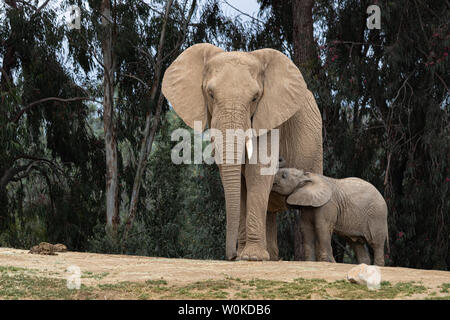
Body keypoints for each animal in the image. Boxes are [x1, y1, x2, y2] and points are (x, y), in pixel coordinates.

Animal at [163, 43, 324, 262]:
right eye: (210, 94)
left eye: (255, 97)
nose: (230, 255)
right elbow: (238, 182)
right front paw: (244, 256)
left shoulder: (269, 117)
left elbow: (257, 172)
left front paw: (251, 258)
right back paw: (270, 257)